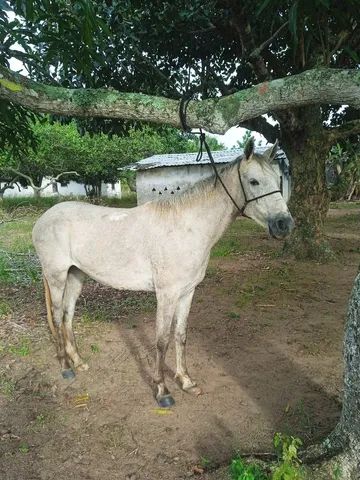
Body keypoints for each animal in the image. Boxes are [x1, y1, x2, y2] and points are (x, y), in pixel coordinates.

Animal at [32, 138, 294, 404]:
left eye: (277, 179)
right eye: (254, 181)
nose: (284, 224)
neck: (187, 227)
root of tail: (44, 219)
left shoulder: (187, 292)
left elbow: (180, 335)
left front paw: (186, 381)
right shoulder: (167, 294)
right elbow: (161, 341)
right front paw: (162, 390)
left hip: (76, 275)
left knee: (68, 316)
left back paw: (79, 362)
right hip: (56, 276)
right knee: (56, 317)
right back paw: (66, 368)